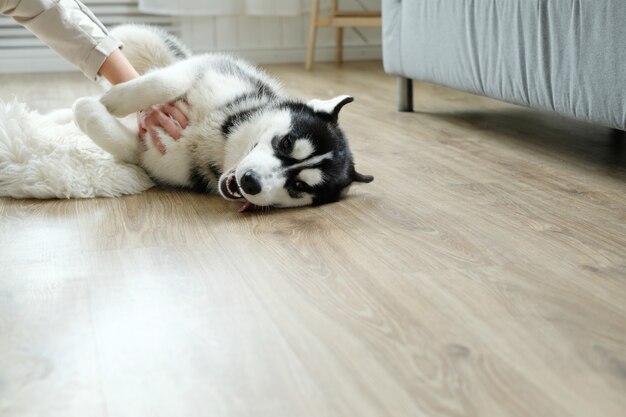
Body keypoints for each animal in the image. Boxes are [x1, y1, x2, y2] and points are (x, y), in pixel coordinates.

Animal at [72, 24, 370, 210]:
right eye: (287, 143)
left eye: (299, 186)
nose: (250, 181)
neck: (221, 141)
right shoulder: (206, 68)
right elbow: (165, 83)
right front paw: (114, 101)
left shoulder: (147, 154)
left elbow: (97, 122)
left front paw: (89, 107)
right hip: (144, 41)